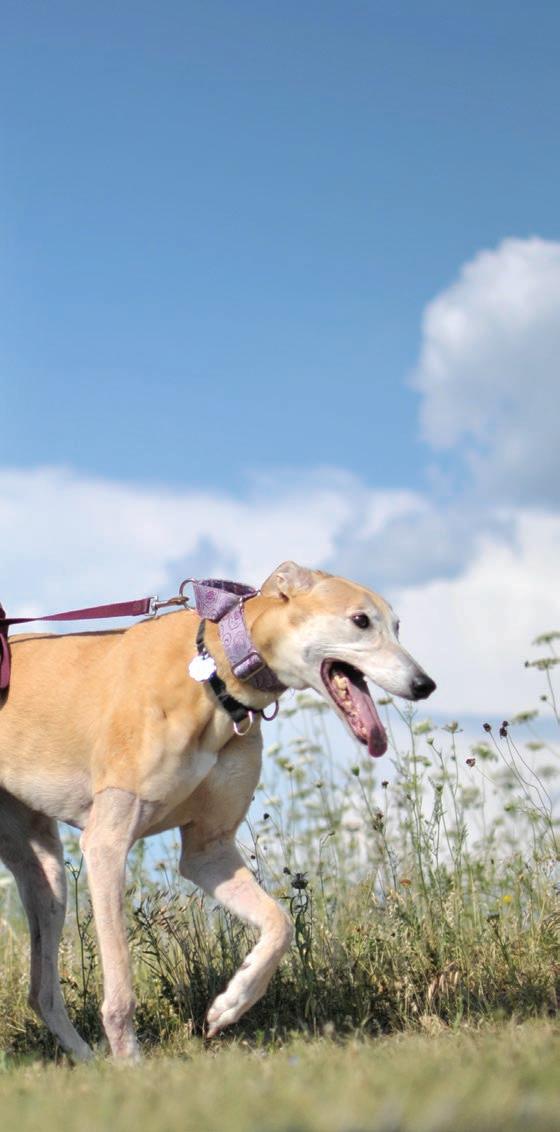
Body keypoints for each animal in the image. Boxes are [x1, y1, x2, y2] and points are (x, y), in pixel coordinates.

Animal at [0, 561, 435, 1060]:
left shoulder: (209, 852)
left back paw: (87, 1060)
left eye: (397, 626)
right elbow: (121, 986)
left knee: (42, 992)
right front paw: (130, 1063)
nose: (425, 684)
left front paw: (233, 1002)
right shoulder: (106, 844)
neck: (214, 677)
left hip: (44, 872)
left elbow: (280, 923)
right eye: (360, 620)